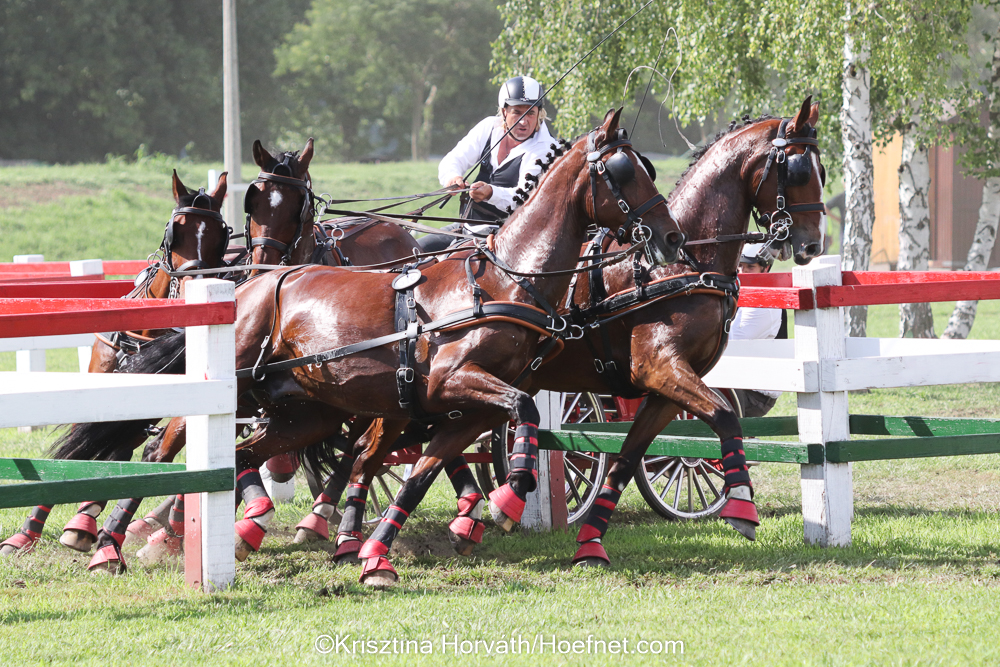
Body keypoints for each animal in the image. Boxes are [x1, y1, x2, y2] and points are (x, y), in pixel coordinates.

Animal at [0, 168, 230, 560]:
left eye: (220, 236)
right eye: (177, 230)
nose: (193, 288)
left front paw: (89, 522)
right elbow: (78, 450)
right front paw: (27, 532)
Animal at [52, 105, 688, 580]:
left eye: (645, 169)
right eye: (623, 173)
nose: (671, 237)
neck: (508, 276)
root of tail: (248, 288)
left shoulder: (461, 406)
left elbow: (435, 461)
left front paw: (399, 540)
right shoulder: (459, 384)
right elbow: (520, 414)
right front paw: (504, 502)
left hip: (302, 413)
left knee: (246, 456)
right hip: (237, 394)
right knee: (168, 445)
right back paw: (113, 539)